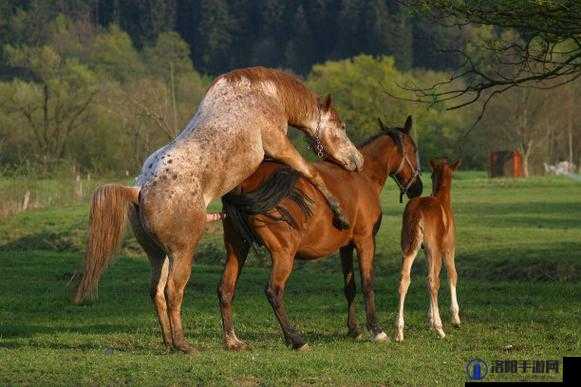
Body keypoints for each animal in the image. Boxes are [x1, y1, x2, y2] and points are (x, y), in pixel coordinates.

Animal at [72, 67, 362, 354]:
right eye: (342, 127)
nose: (357, 161)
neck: (265, 94)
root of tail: (140, 190)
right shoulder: (278, 145)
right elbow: (310, 171)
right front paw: (339, 213)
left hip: (159, 255)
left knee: (156, 291)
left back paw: (173, 342)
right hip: (182, 253)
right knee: (172, 291)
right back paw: (183, 344)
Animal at [214, 116, 422, 352]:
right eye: (414, 149)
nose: (418, 188)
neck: (362, 176)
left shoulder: (345, 246)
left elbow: (350, 286)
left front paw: (354, 329)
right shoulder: (365, 241)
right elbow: (368, 284)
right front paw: (375, 330)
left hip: (237, 247)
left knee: (225, 289)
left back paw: (232, 340)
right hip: (283, 254)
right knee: (273, 291)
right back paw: (295, 339)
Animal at [394, 158, 462, 342]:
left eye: (431, 175)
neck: (442, 200)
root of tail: (417, 212)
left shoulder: (425, 251)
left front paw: (430, 319)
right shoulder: (447, 248)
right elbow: (452, 275)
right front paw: (455, 318)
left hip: (409, 247)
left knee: (404, 279)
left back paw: (399, 331)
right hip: (433, 248)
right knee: (433, 280)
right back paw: (440, 329)